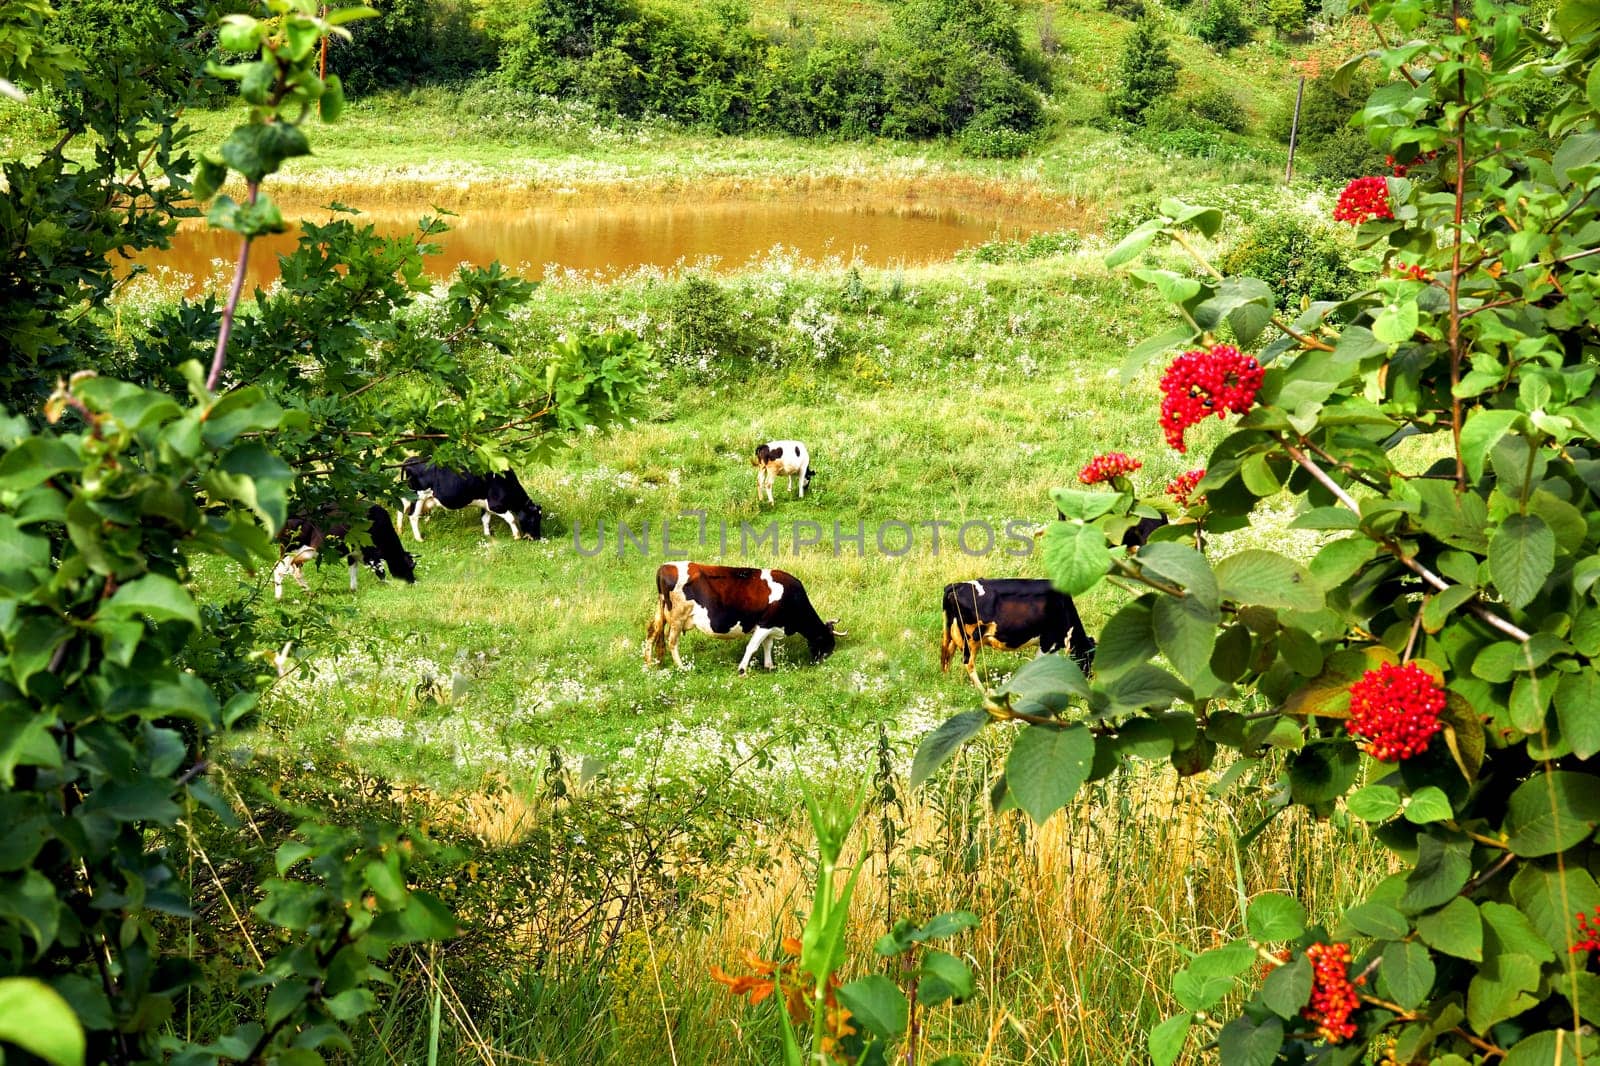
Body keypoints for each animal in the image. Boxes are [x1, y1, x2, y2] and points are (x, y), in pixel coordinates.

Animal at [273, 499, 419, 592]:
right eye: (411, 566)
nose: (413, 582)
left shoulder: (354, 554)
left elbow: (353, 573)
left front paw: (354, 590)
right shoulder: (372, 553)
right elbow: (380, 572)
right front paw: (389, 585)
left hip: (289, 549)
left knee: (281, 567)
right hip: (306, 549)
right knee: (290, 567)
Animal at [396, 457, 547, 541]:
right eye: (533, 518)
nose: (536, 538)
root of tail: (410, 460)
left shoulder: (486, 505)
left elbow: (485, 519)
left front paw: (487, 535)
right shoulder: (496, 505)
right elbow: (511, 518)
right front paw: (516, 536)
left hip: (409, 493)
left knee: (401, 506)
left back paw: (400, 530)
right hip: (419, 496)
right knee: (413, 516)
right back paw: (419, 538)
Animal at [643, 560, 844, 669]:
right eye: (827, 642)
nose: (821, 661)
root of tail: (665, 566)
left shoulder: (770, 625)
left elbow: (767, 645)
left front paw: (769, 666)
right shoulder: (765, 623)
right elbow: (753, 646)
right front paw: (742, 669)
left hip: (662, 612)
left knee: (652, 632)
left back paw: (649, 663)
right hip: (677, 617)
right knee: (672, 642)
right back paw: (682, 667)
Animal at [934, 576, 1100, 685]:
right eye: (1089, 657)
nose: (1088, 677)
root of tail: (956, 585)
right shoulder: (1048, 641)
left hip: (953, 633)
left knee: (947, 655)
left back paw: (946, 680)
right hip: (972, 638)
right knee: (968, 662)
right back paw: (984, 691)